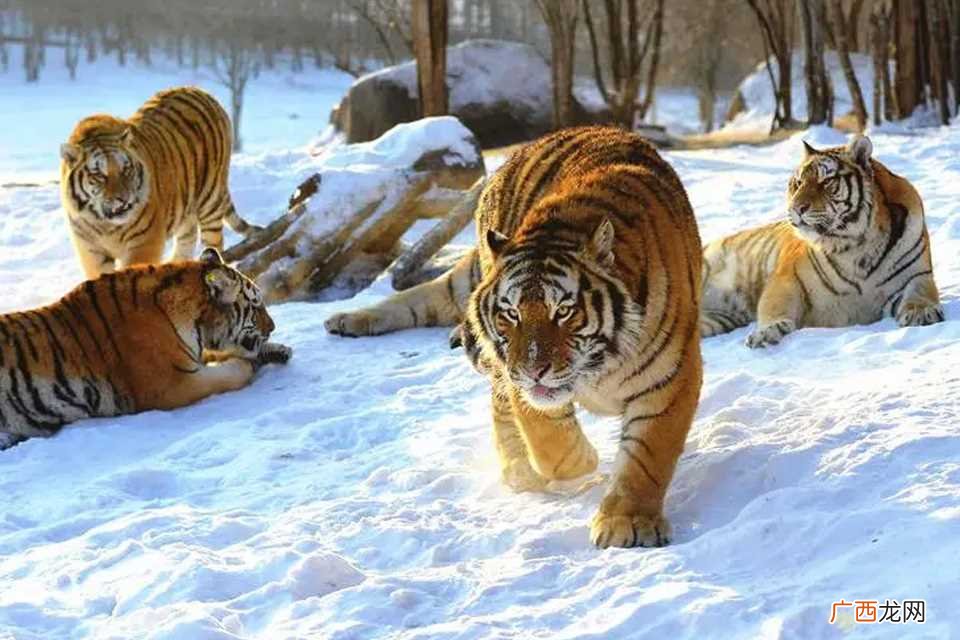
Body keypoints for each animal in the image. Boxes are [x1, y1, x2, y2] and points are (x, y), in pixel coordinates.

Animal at [0, 248, 291, 450]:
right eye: (256, 305)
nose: (273, 326)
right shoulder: (172, 385)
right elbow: (232, 372)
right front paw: (249, 362)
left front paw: (278, 350)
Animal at [59, 86, 260, 279]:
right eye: (99, 175)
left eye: (126, 170)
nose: (123, 199)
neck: (105, 225)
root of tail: (201, 91)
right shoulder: (91, 250)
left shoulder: (143, 242)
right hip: (185, 208)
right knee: (187, 239)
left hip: (210, 199)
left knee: (214, 243)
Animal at [327, 127, 704, 549]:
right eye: (511, 313)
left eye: (564, 311)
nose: (534, 369)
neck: (599, 366)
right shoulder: (520, 380)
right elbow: (549, 439)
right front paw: (581, 461)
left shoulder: (669, 379)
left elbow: (646, 459)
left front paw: (628, 522)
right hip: (476, 291)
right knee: (429, 298)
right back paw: (346, 319)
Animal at [700, 135, 944, 348]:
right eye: (798, 183)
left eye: (826, 181)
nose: (796, 208)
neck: (858, 246)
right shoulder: (786, 279)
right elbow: (774, 305)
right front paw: (766, 332)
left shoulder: (917, 275)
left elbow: (919, 292)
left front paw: (921, 312)